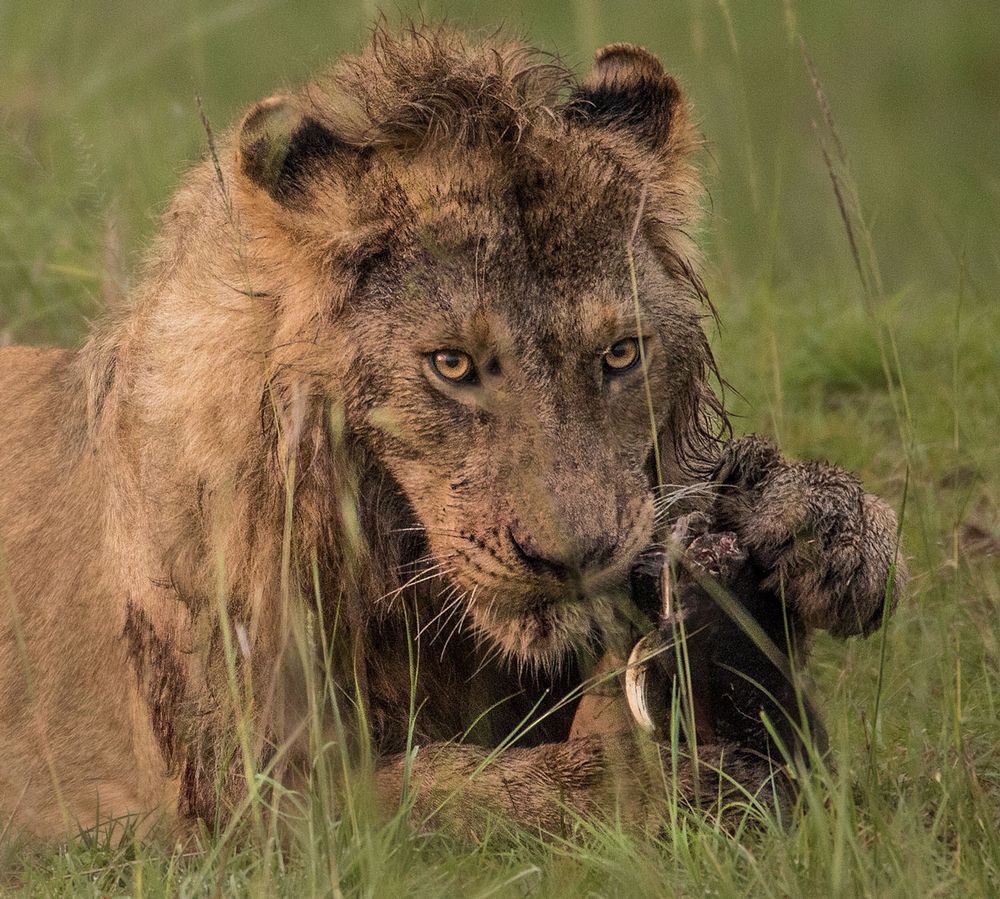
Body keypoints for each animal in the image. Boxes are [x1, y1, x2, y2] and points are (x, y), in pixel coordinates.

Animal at [0, 29, 908, 844]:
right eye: (453, 364)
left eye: (620, 353)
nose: (574, 558)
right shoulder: (239, 800)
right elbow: (445, 788)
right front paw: (686, 778)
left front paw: (817, 530)